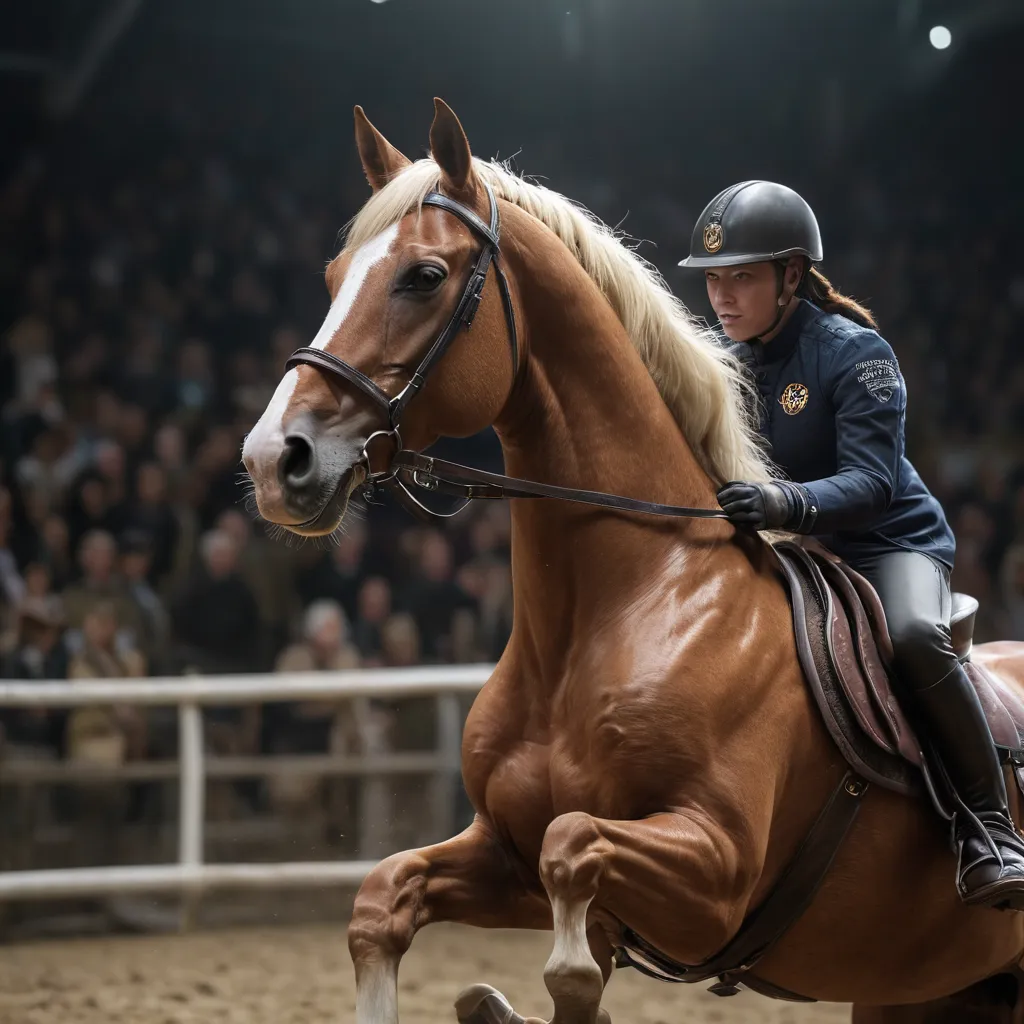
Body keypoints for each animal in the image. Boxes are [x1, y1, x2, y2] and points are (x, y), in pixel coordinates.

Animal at [242, 99, 1024, 1023]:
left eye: (424, 277)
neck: (624, 608)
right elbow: (385, 897)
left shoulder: (715, 873)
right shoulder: (501, 853)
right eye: (333, 277)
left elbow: (572, 857)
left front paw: (565, 982)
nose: (274, 459)